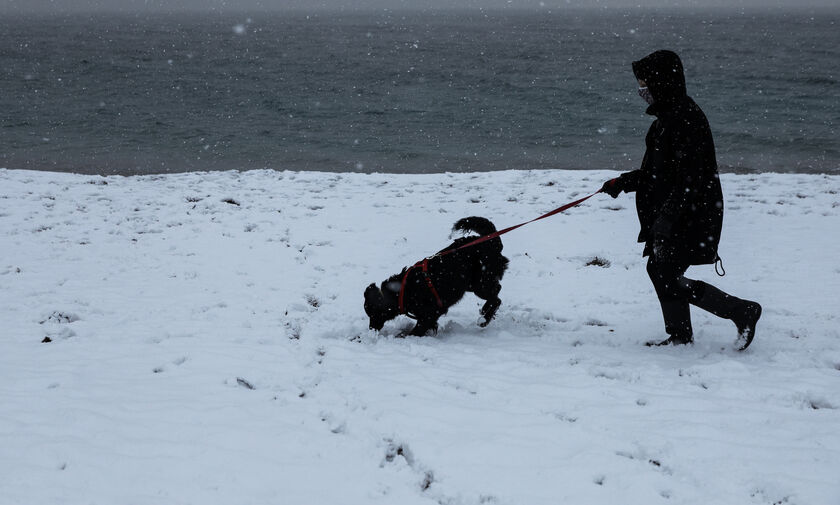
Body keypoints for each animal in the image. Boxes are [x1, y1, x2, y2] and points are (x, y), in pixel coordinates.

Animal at [364, 216, 508, 334]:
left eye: (372, 314)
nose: (371, 328)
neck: (401, 291)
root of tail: (490, 240)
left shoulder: (430, 313)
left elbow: (416, 331)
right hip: (470, 284)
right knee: (497, 292)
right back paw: (485, 312)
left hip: (481, 283)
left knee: (496, 297)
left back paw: (484, 318)